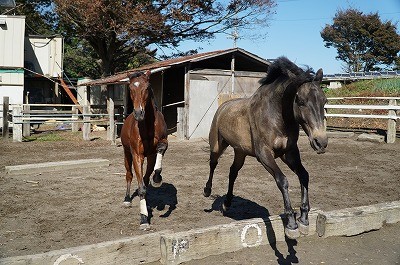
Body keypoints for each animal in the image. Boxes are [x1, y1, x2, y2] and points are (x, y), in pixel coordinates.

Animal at [119, 70, 168, 229]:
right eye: (130, 89)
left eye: (146, 87)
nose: (139, 113)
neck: (147, 125)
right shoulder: (137, 155)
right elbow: (140, 188)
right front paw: (144, 219)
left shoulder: (157, 149)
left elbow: (160, 149)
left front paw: (157, 178)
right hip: (127, 154)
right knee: (129, 175)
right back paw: (127, 199)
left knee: (145, 179)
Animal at [203, 57, 328, 239]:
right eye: (301, 101)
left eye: (324, 101)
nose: (321, 142)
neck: (277, 117)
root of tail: (223, 107)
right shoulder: (264, 154)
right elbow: (282, 180)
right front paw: (291, 224)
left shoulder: (289, 153)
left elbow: (304, 175)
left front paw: (304, 219)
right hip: (217, 145)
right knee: (213, 163)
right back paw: (207, 191)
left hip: (240, 151)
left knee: (233, 172)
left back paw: (227, 203)